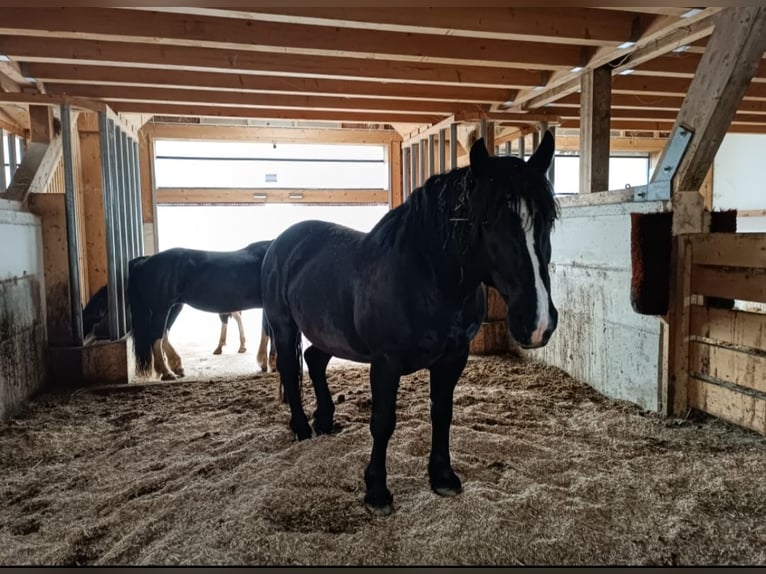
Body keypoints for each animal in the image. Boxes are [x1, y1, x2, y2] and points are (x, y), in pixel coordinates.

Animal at [262, 135, 560, 516]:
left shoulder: (453, 357)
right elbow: (382, 422)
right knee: (289, 368)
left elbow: (442, 413)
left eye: (548, 219)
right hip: (284, 326)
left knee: (314, 359)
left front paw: (443, 476)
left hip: (331, 334)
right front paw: (377, 491)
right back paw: (301, 428)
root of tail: (282, 242)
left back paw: (325, 421)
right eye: (488, 222)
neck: (427, 279)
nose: (537, 322)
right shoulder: (385, 362)